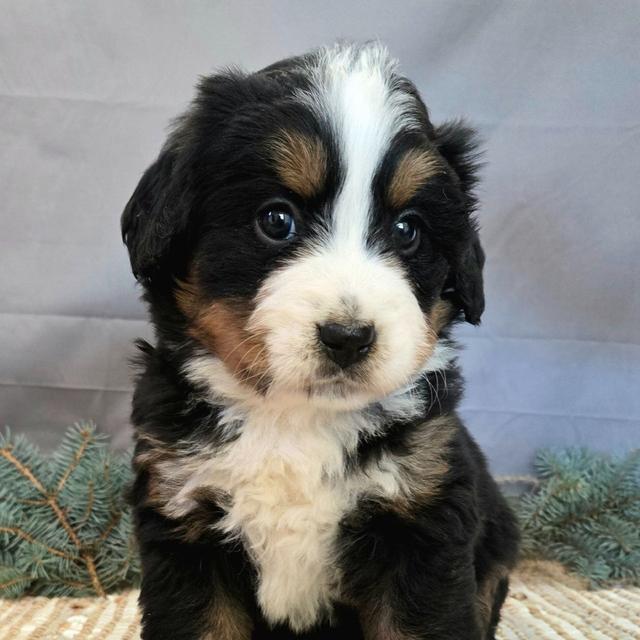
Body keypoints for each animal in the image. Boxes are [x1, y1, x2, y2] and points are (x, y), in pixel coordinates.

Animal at [121, 42, 520, 636]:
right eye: (276, 220)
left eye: (408, 229)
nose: (349, 337)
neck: (294, 422)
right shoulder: (184, 520)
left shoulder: (420, 521)